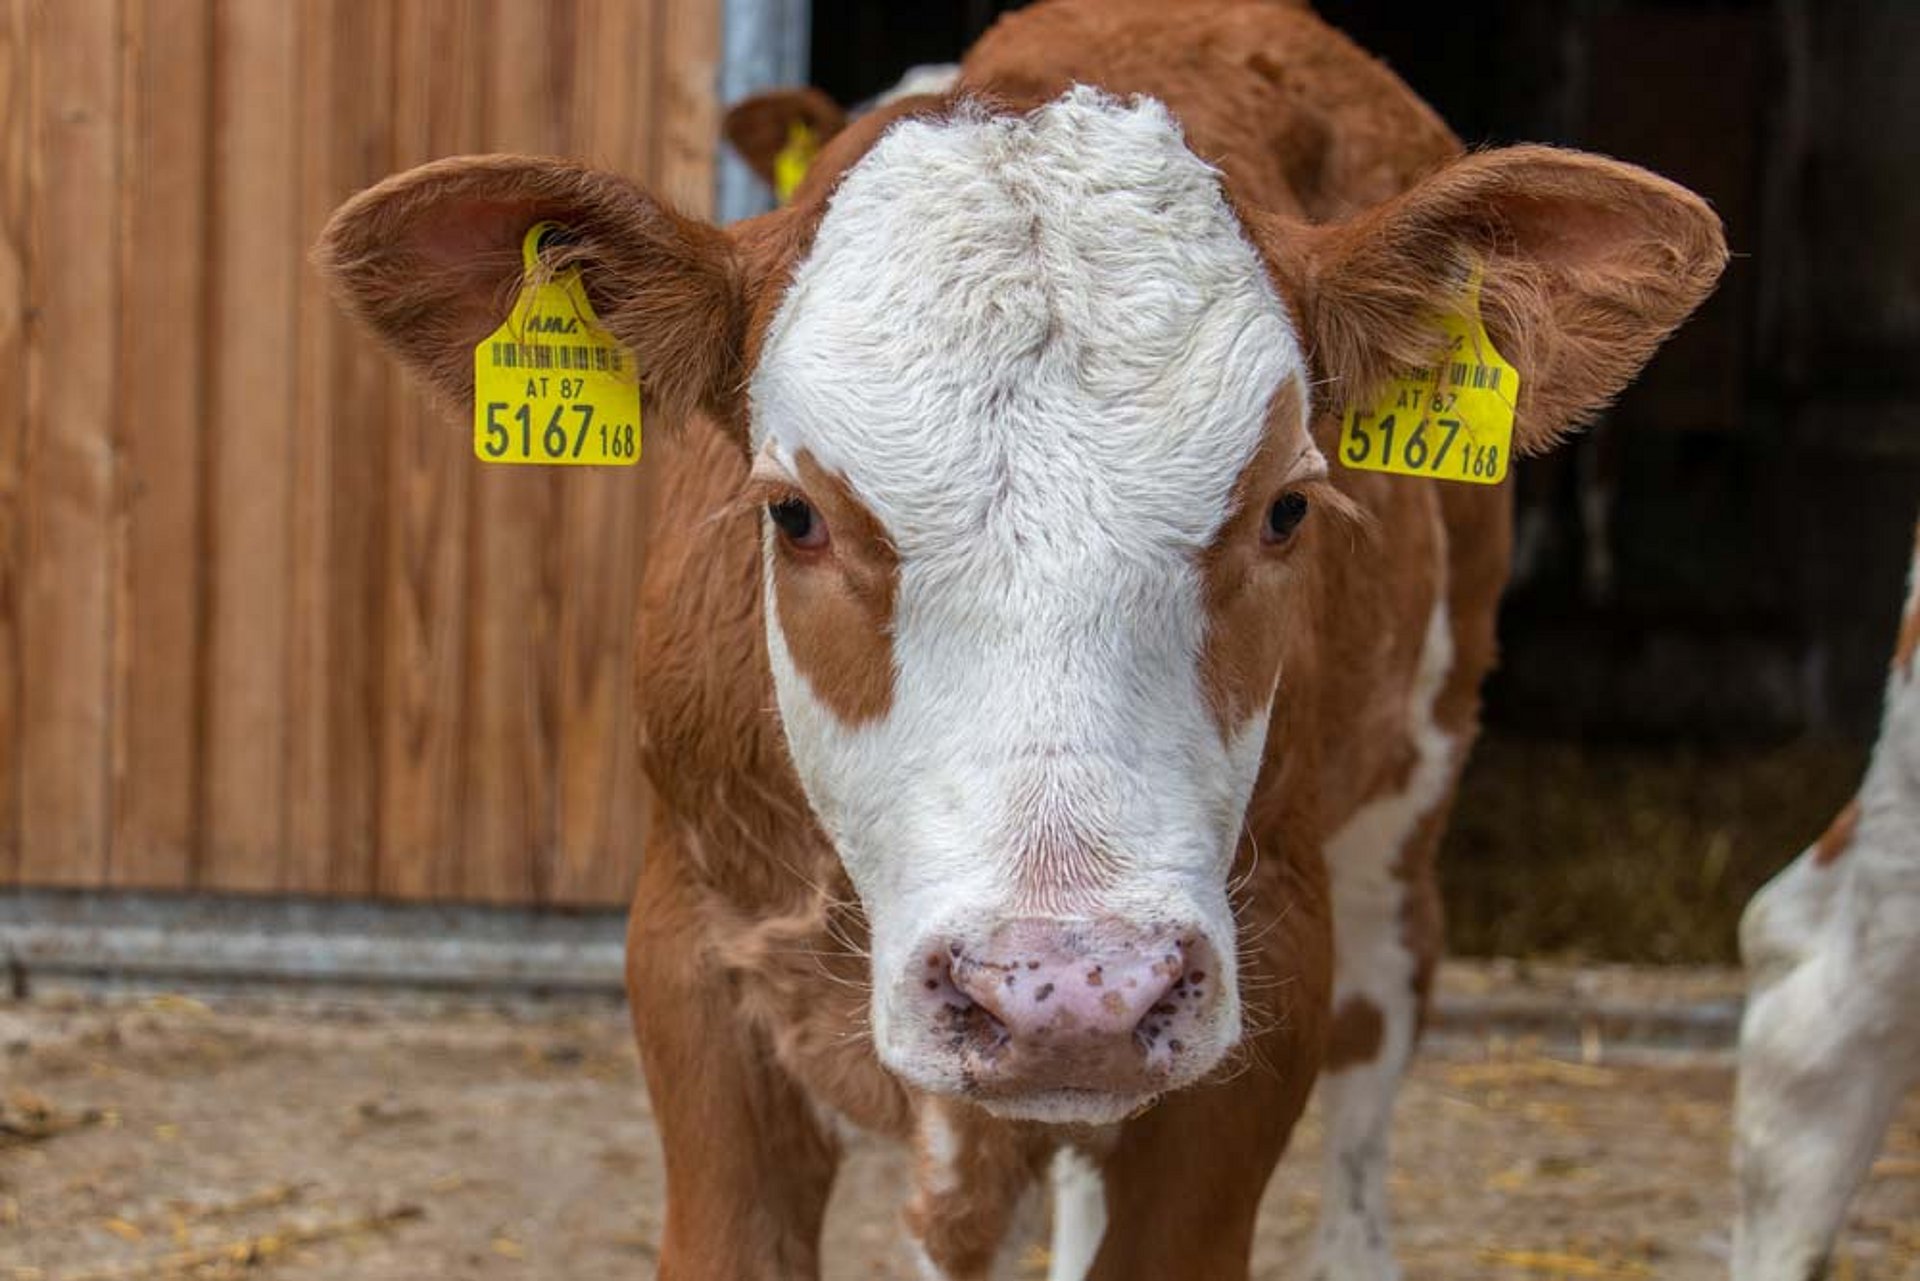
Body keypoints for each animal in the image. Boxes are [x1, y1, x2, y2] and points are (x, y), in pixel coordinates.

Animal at [316, 1, 1726, 1275]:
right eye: (793, 513)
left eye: (1285, 507)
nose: (1070, 993)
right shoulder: (695, 966)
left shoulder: (1266, 988)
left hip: (1401, 816)